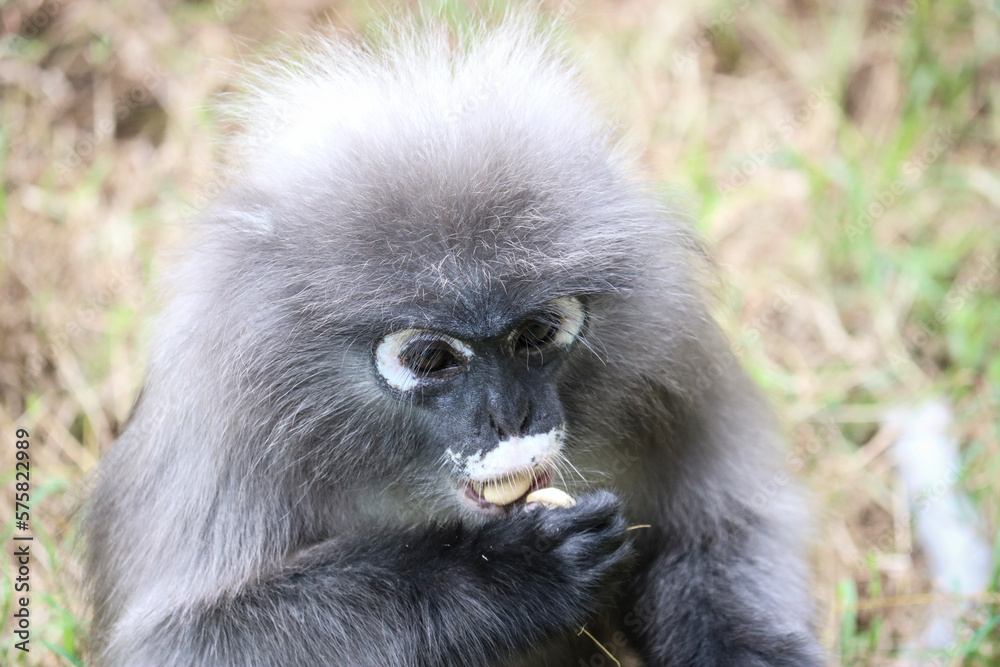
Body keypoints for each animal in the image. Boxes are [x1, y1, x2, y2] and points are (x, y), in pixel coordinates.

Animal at [81, 14, 824, 667]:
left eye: (537, 333)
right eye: (430, 357)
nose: (511, 417)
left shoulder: (673, 352)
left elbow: (727, 528)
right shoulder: (224, 422)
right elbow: (188, 639)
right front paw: (507, 574)